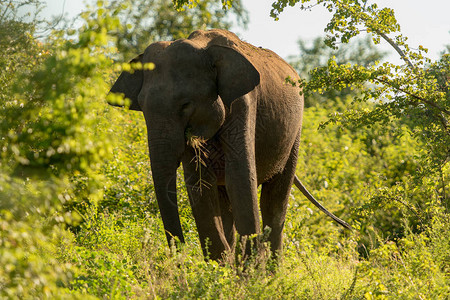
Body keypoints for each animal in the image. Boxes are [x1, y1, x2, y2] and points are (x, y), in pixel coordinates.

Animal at [109, 29, 352, 260]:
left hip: (295, 135)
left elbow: (240, 176)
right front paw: (222, 269)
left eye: (186, 105)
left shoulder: (244, 103)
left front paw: (250, 272)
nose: (180, 258)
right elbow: (199, 184)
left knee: (275, 201)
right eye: (141, 107)